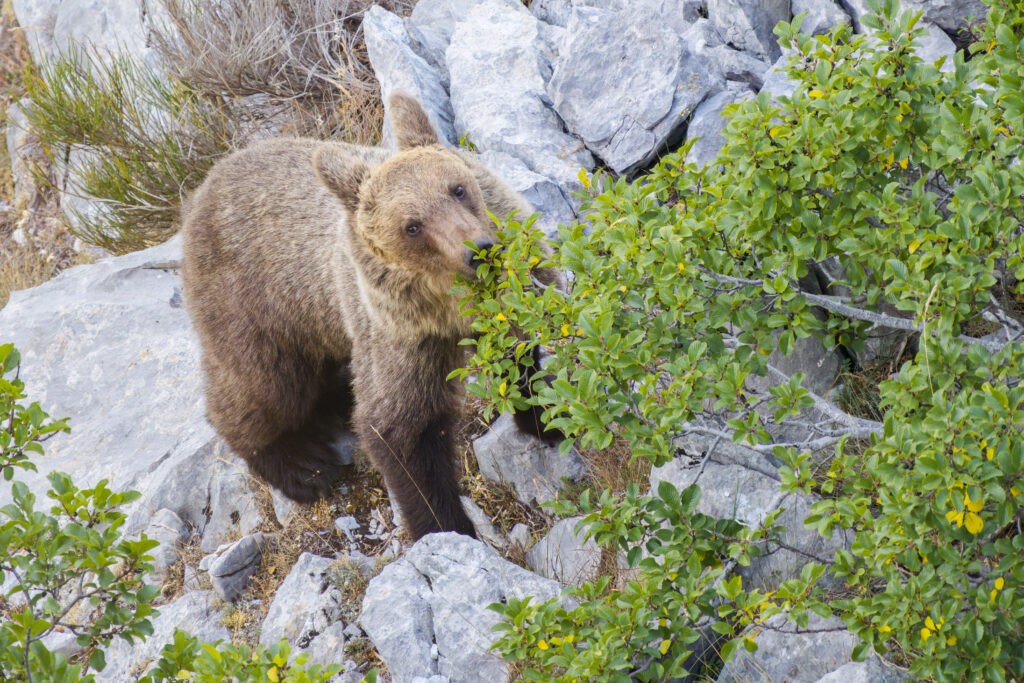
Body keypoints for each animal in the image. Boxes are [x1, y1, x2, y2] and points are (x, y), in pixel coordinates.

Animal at [182, 91, 560, 541]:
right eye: (412, 226)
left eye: (457, 188)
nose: (480, 251)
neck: (450, 308)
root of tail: (200, 191)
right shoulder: (399, 337)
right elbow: (400, 429)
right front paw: (446, 526)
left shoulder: (512, 293)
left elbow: (520, 355)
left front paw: (545, 419)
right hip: (257, 306)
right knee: (262, 388)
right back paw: (302, 466)